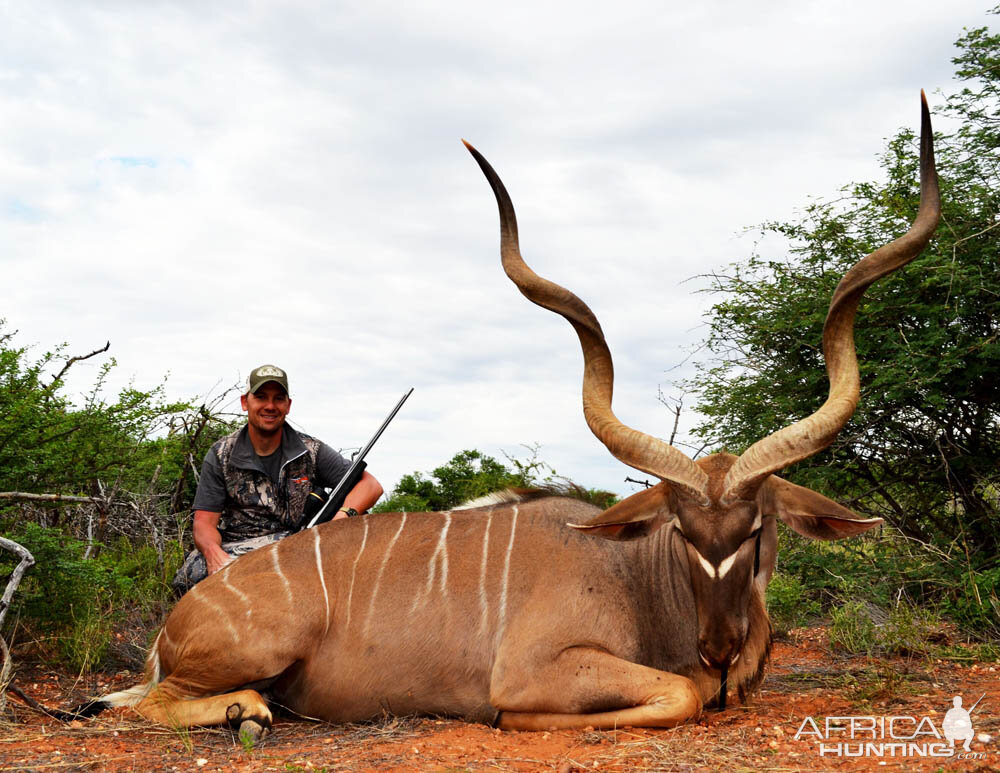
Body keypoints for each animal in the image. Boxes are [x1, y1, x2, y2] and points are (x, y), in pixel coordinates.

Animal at [76, 95, 936, 736]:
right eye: (683, 531)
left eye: (756, 530)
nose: (720, 649)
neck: (631, 571)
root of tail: (175, 623)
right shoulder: (536, 668)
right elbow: (675, 694)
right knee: (147, 703)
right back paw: (248, 710)